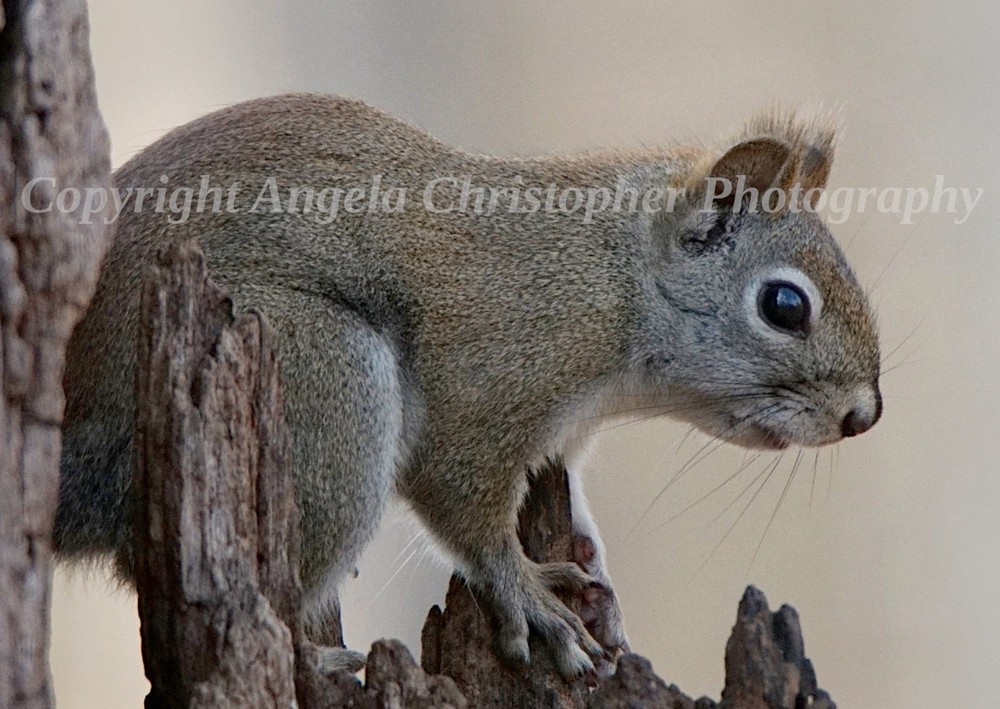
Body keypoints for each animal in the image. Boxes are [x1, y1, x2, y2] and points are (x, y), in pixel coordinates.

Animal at [54, 94, 882, 677]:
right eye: (785, 305)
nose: (865, 414)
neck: (614, 280)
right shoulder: (488, 381)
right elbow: (464, 500)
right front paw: (528, 594)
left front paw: (598, 577)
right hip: (325, 372)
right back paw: (316, 660)